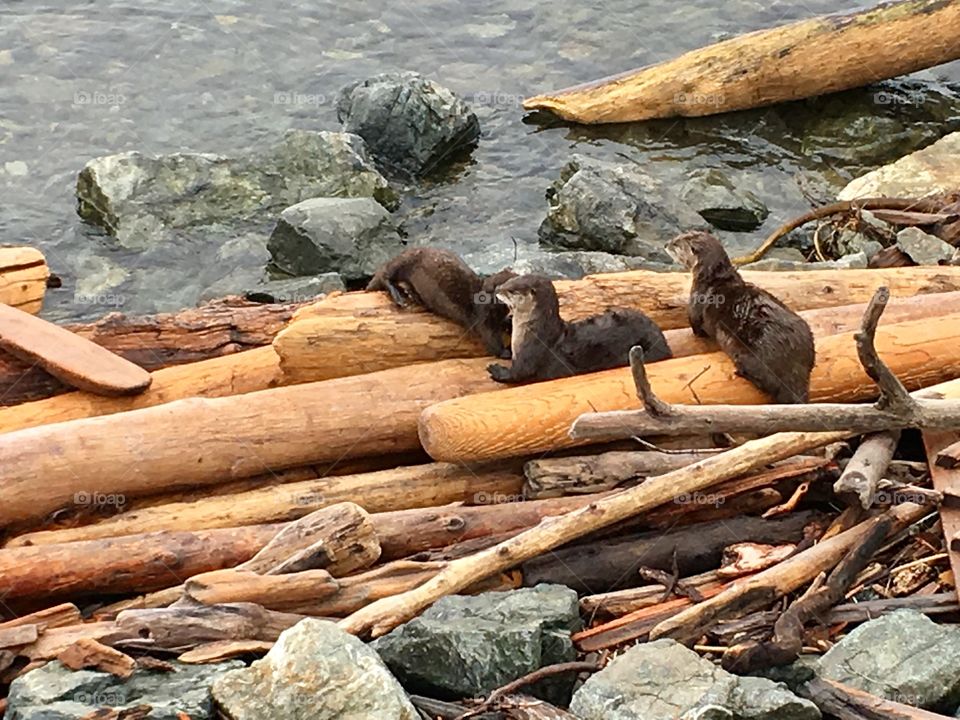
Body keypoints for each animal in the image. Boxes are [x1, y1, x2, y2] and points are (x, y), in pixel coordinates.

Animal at [367, 247, 515, 358]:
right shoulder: (483, 317)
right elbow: (490, 339)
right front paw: (506, 352)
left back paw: (411, 294)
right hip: (404, 260)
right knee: (385, 274)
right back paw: (399, 296)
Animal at [487, 274, 672, 383]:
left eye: (511, 290)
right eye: (508, 281)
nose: (497, 289)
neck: (532, 331)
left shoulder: (530, 354)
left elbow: (519, 373)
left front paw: (495, 370)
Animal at [666, 231, 815, 403]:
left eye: (676, 243)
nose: (666, 244)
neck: (711, 278)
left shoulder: (696, 302)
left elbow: (695, 324)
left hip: (750, 356)